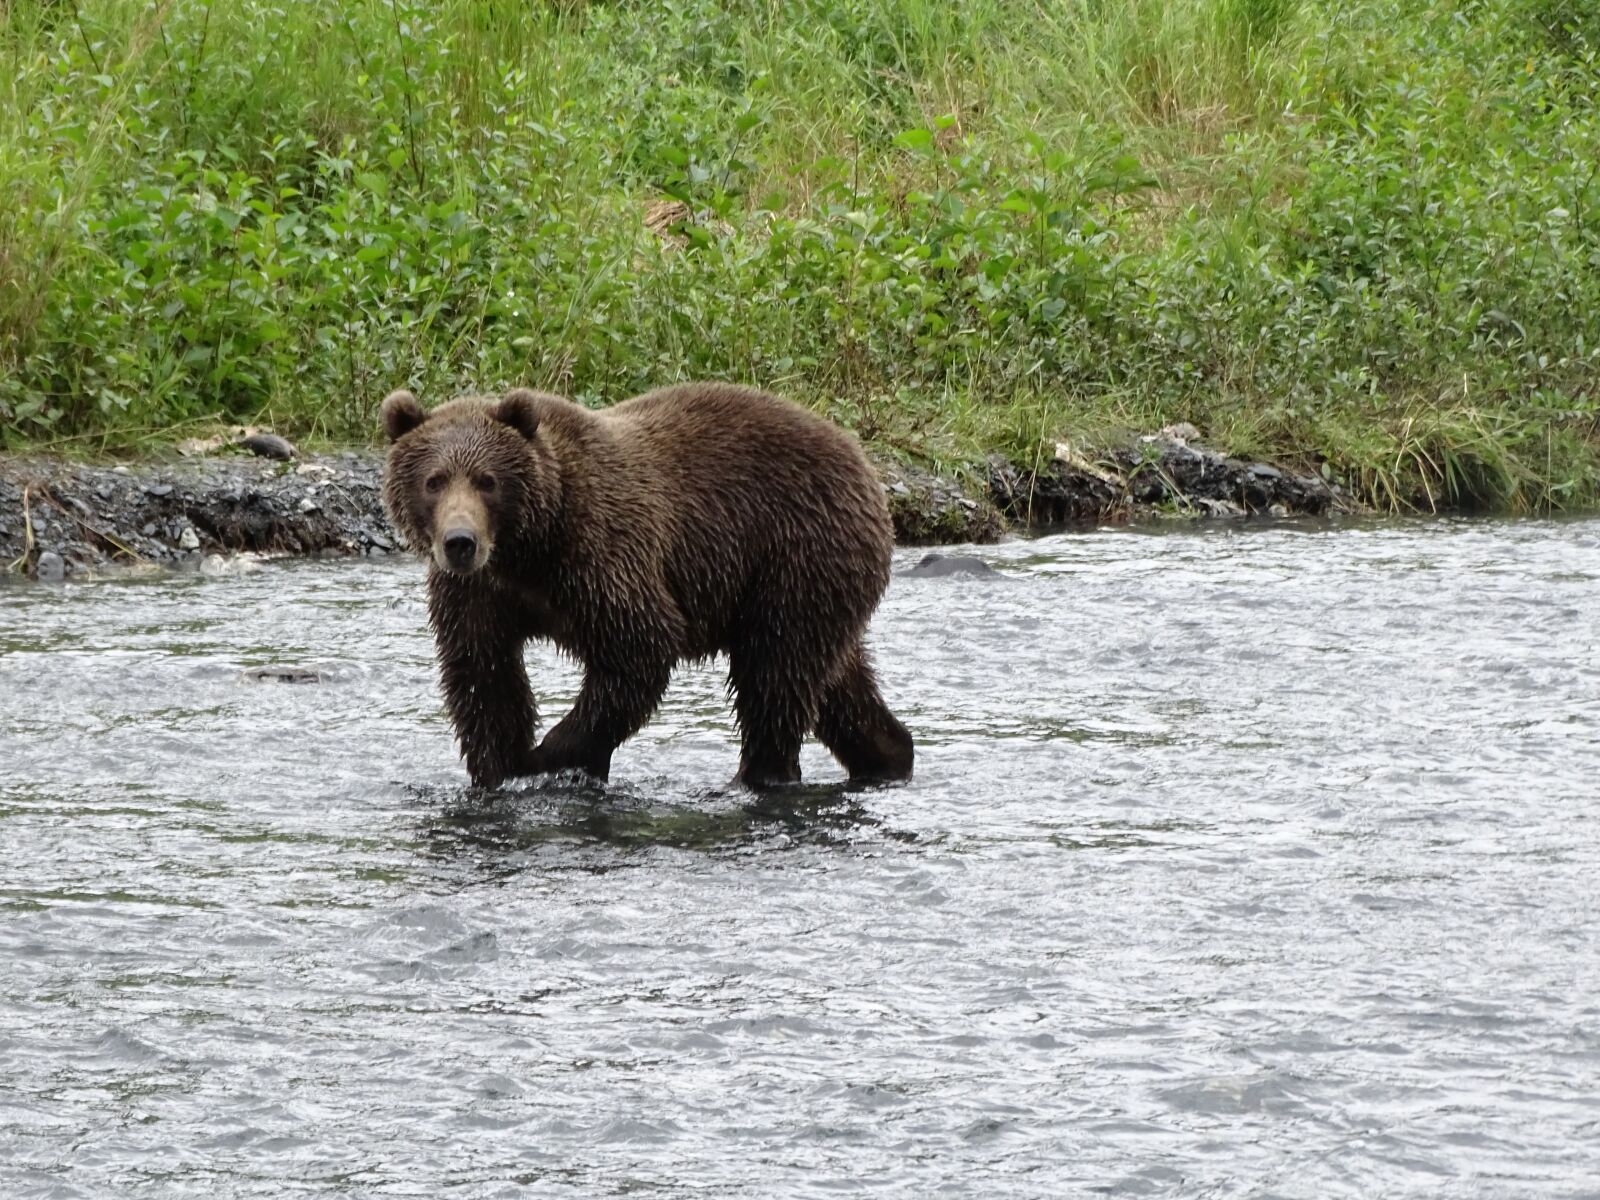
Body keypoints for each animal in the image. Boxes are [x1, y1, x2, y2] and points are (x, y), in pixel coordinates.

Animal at [376, 385, 921, 793]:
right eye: (434, 480)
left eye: (486, 480)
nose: (459, 542)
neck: (527, 551)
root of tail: (862, 462)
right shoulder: (480, 595)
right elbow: (483, 676)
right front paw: (500, 768)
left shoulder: (601, 556)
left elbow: (639, 649)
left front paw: (546, 759)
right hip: (815, 582)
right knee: (833, 680)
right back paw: (888, 754)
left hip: (795, 554)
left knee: (775, 676)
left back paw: (758, 777)